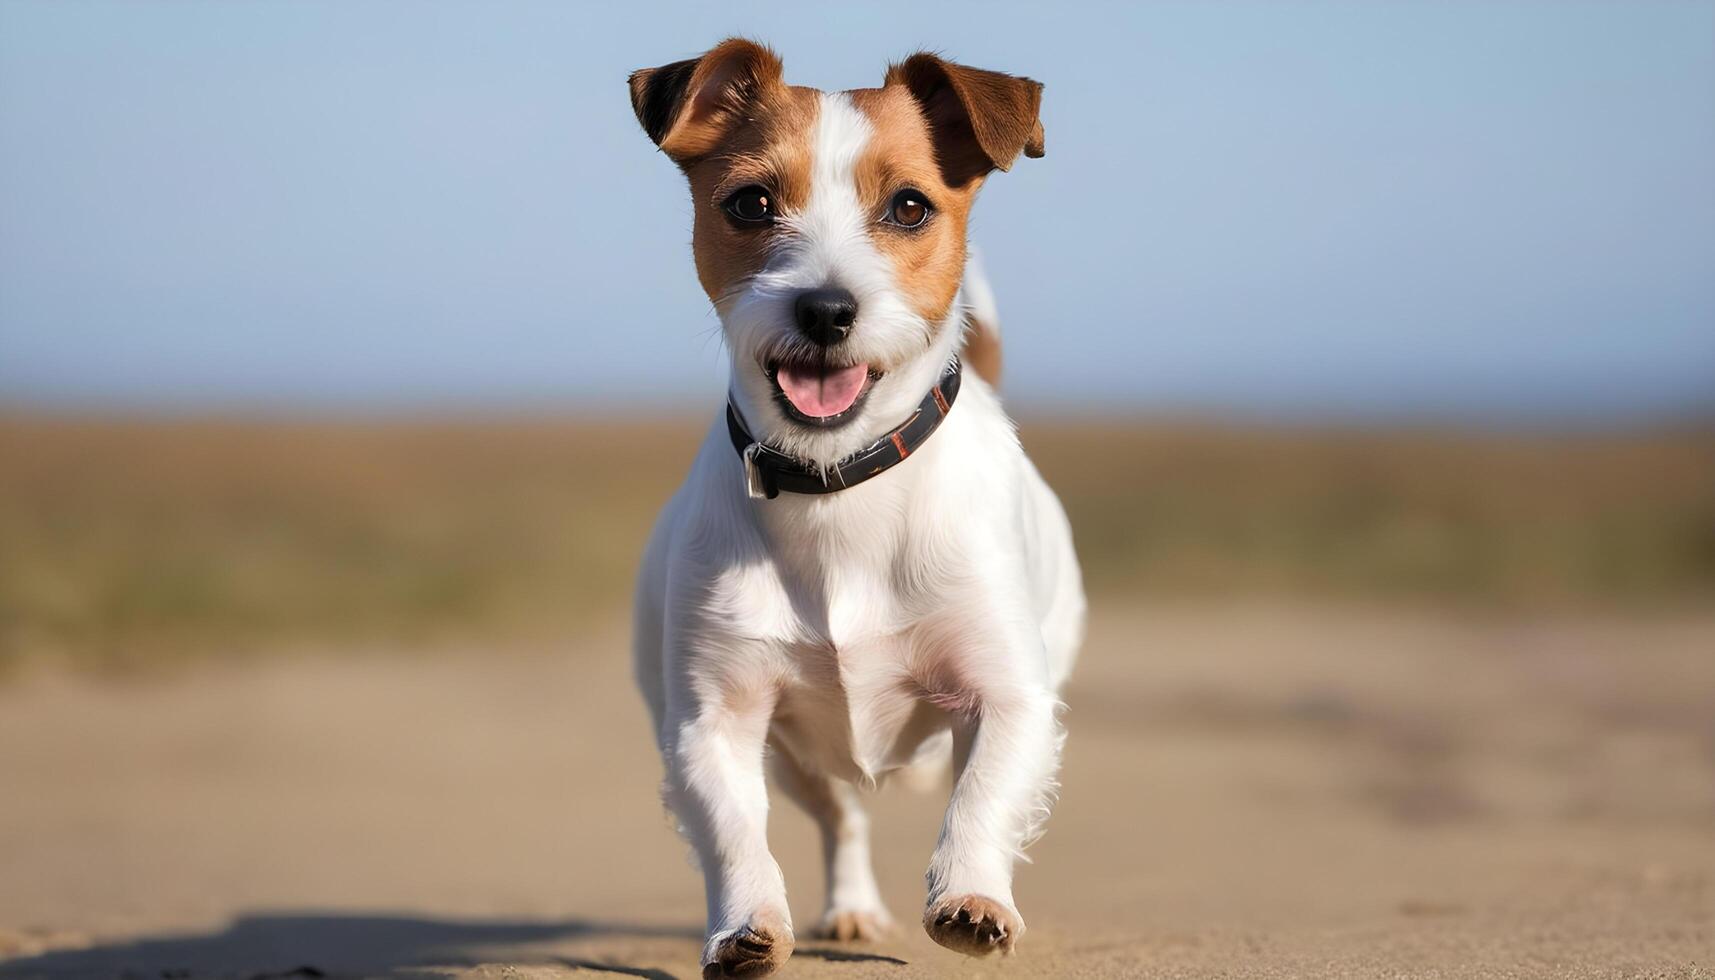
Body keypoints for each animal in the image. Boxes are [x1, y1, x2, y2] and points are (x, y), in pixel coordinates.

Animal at [631, 40, 1083, 980]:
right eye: (751, 202)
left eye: (910, 206)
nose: (826, 308)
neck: (838, 490)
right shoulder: (713, 722)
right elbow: (734, 836)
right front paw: (746, 925)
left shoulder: (1008, 698)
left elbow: (981, 796)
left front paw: (970, 895)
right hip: (795, 758)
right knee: (842, 818)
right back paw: (849, 906)